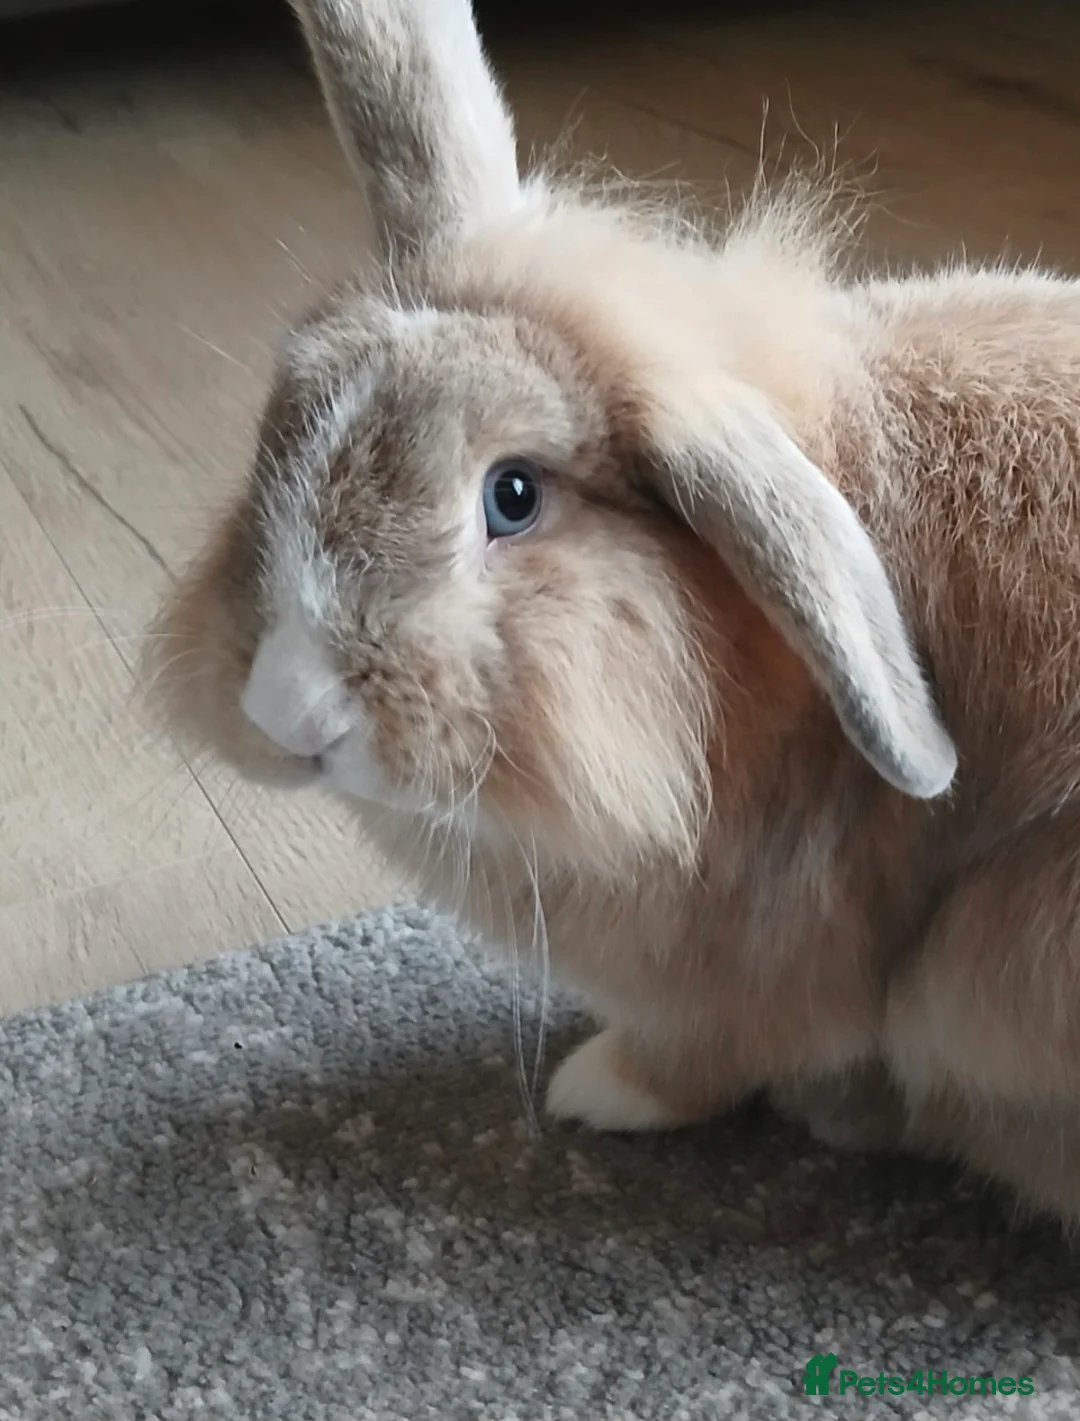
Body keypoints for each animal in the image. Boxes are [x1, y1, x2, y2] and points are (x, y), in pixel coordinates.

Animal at [148, 0, 1080, 1226]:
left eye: (514, 495)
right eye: (283, 422)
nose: (286, 709)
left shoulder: (761, 966)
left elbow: (707, 1050)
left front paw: (595, 1088)